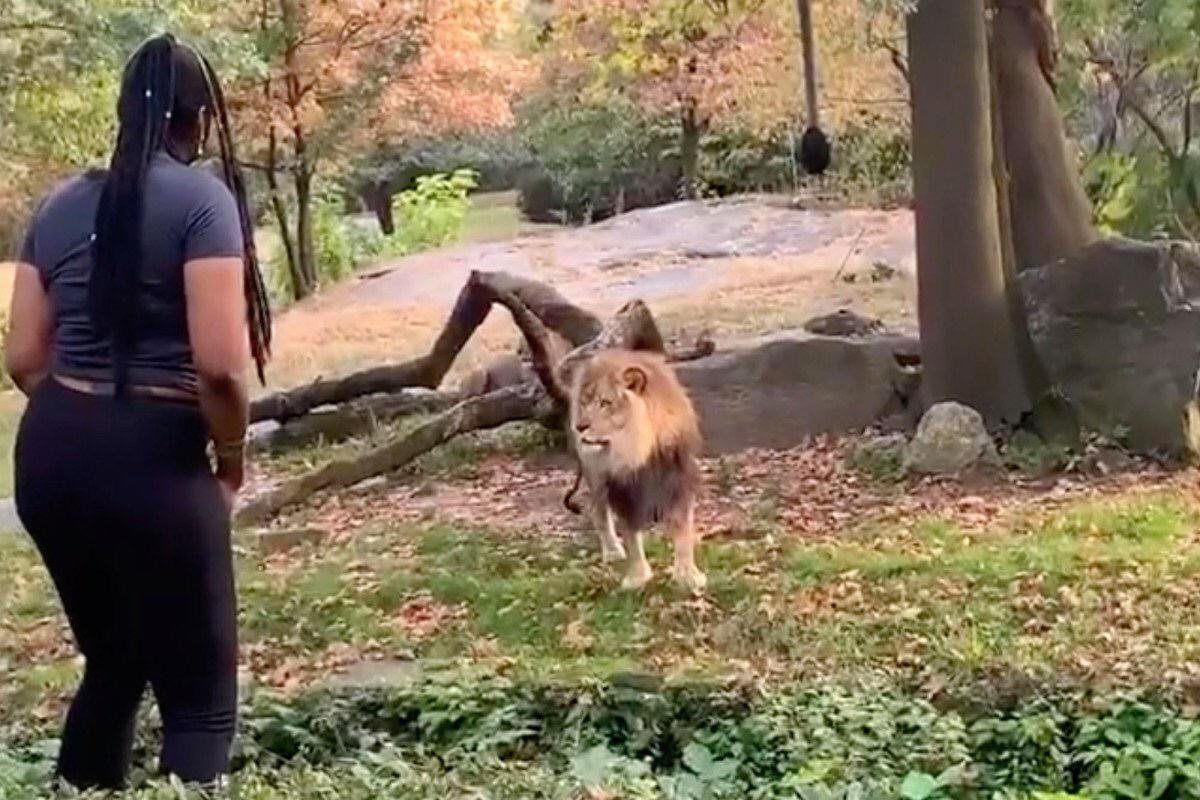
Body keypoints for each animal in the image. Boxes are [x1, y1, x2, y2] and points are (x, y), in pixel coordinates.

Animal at [563, 349, 706, 592]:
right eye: (584, 403)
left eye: (605, 402)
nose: (580, 426)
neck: (638, 451)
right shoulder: (622, 489)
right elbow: (631, 535)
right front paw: (637, 578)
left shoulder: (678, 480)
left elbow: (683, 528)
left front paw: (687, 575)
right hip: (595, 477)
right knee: (598, 512)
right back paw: (612, 551)